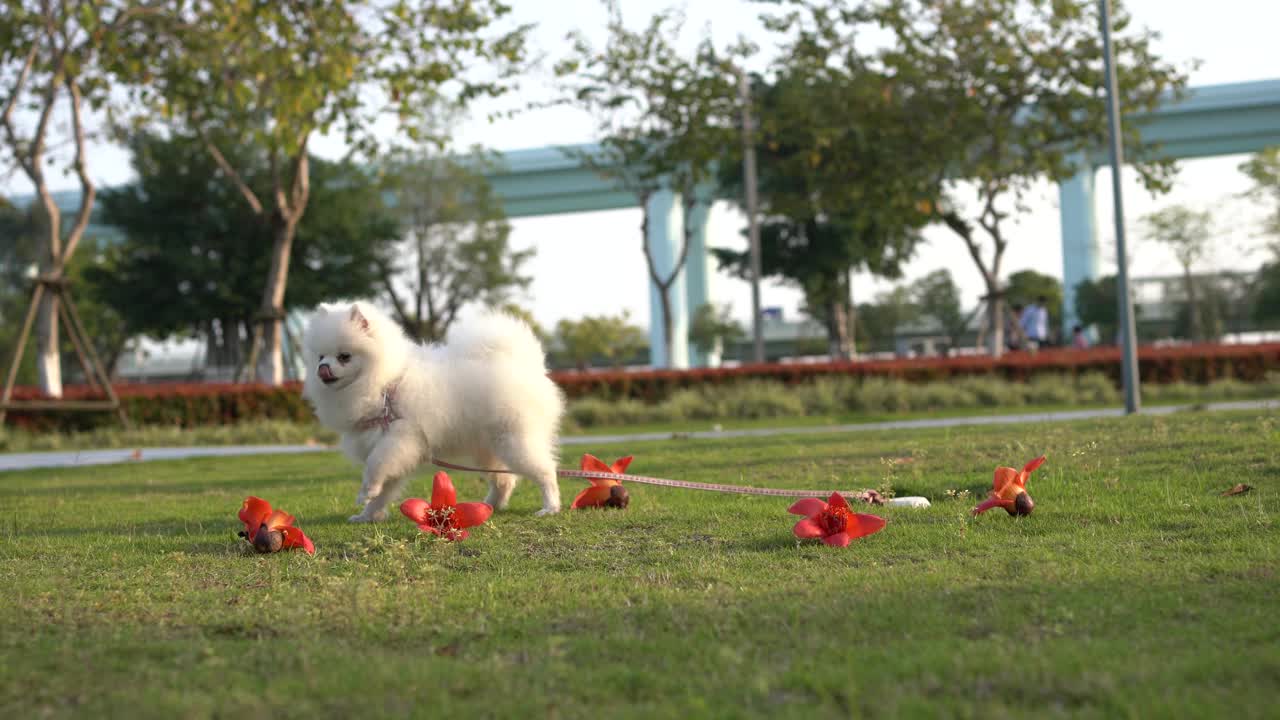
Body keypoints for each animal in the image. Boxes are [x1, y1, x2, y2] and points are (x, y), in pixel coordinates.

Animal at [302, 301, 563, 520]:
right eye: (320, 356)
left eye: (344, 356)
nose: (322, 368)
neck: (385, 384)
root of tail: (525, 363)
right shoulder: (392, 447)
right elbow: (385, 489)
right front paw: (367, 515)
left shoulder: (399, 438)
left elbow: (375, 465)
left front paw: (365, 493)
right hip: (488, 448)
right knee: (505, 480)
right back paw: (488, 505)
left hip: (514, 441)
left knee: (546, 471)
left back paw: (550, 507)